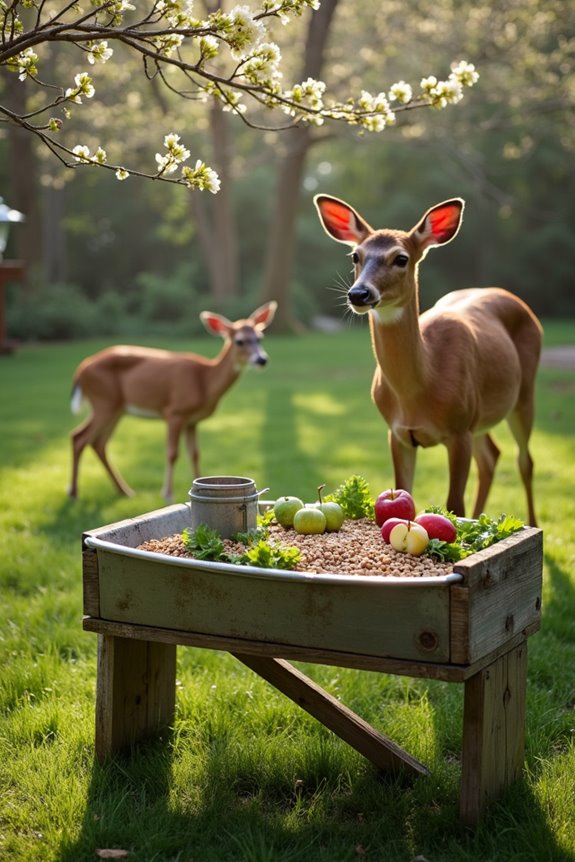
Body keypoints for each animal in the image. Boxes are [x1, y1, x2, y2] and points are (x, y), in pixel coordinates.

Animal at [68, 301, 277, 501]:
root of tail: (81, 368)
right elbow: (172, 453)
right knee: (79, 437)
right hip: (104, 401)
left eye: (260, 337)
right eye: (239, 341)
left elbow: (195, 454)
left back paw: (124, 491)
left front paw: (201, 483)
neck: (204, 380)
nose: (261, 359)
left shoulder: (193, 420)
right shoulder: (174, 412)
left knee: (98, 443)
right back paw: (74, 493)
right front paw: (167, 494)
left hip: (117, 408)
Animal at [314, 194, 542, 526]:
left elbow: (454, 504)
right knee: (491, 457)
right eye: (355, 255)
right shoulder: (397, 432)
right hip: (480, 417)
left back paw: (533, 523)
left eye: (401, 258)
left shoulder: (458, 430)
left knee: (524, 460)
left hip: (523, 393)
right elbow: (403, 488)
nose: (359, 294)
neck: (418, 390)